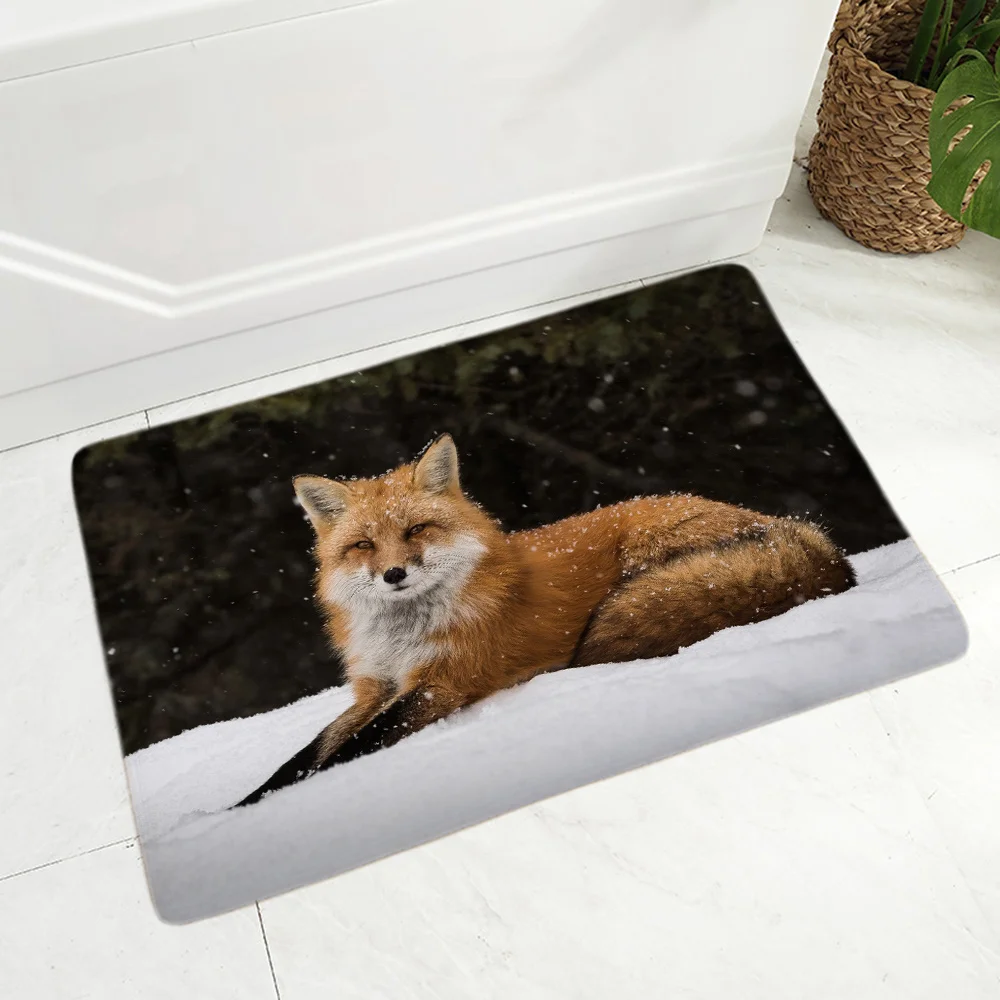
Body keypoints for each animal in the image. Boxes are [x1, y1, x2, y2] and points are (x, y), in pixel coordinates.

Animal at [236, 433, 855, 807]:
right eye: (363, 545)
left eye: (417, 530)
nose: (393, 574)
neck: (405, 635)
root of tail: (803, 535)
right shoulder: (374, 687)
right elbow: (302, 757)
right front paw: (239, 808)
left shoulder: (444, 683)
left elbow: (351, 751)